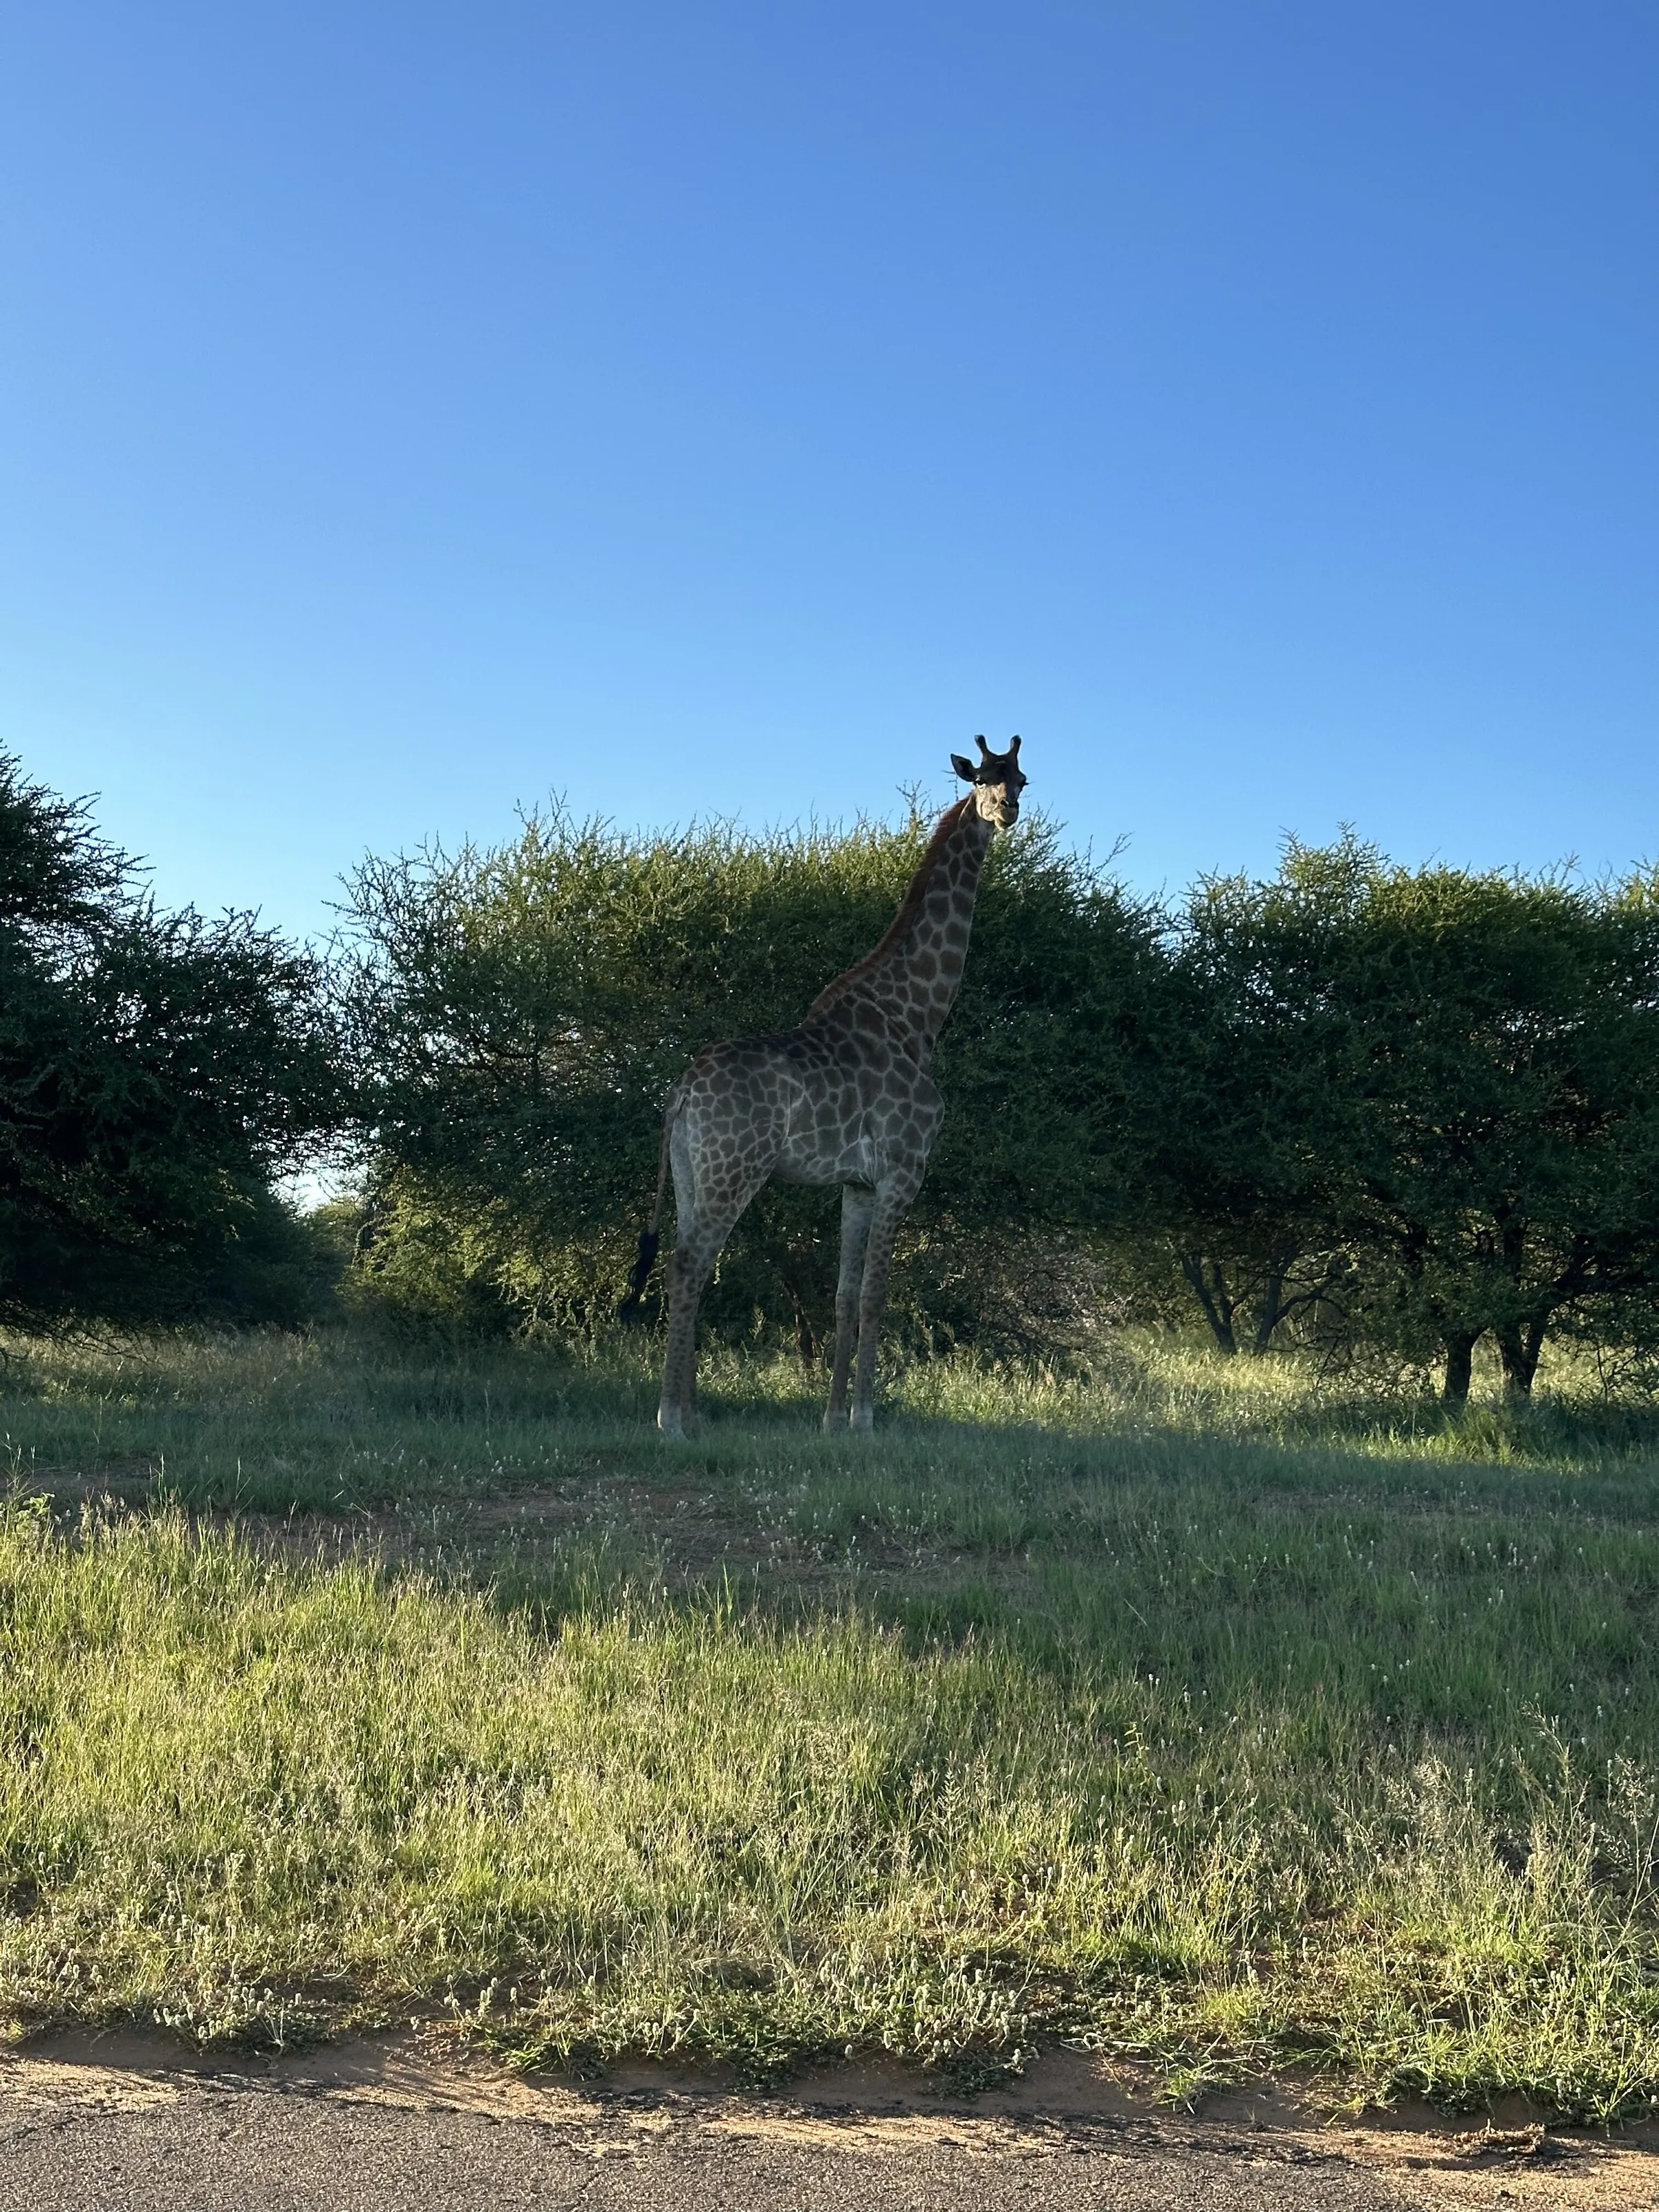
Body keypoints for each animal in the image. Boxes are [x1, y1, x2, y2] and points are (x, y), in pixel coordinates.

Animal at [621, 737, 1028, 1437]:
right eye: (980, 779)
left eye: (1022, 779)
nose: (1006, 812)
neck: (918, 1016)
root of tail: (681, 1092)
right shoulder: (902, 1169)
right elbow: (876, 1293)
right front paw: (864, 1418)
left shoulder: (857, 1183)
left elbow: (842, 1295)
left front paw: (832, 1418)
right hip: (736, 1168)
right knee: (689, 1265)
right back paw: (672, 1418)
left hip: (691, 1172)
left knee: (688, 1264)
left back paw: (692, 1411)